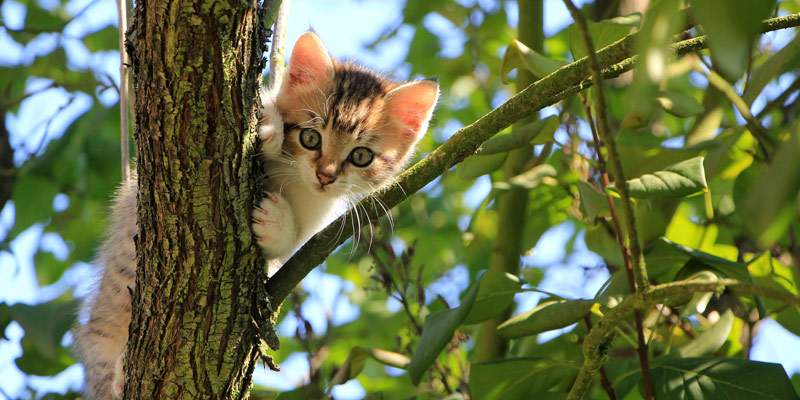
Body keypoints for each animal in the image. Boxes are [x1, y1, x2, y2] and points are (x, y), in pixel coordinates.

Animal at [75, 32, 438, 400]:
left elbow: (290, 244)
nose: (325, 176)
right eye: (310, 137)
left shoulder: (315, 218)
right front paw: (267, 124)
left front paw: (276, 222)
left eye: (361, 156)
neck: (293, 179)